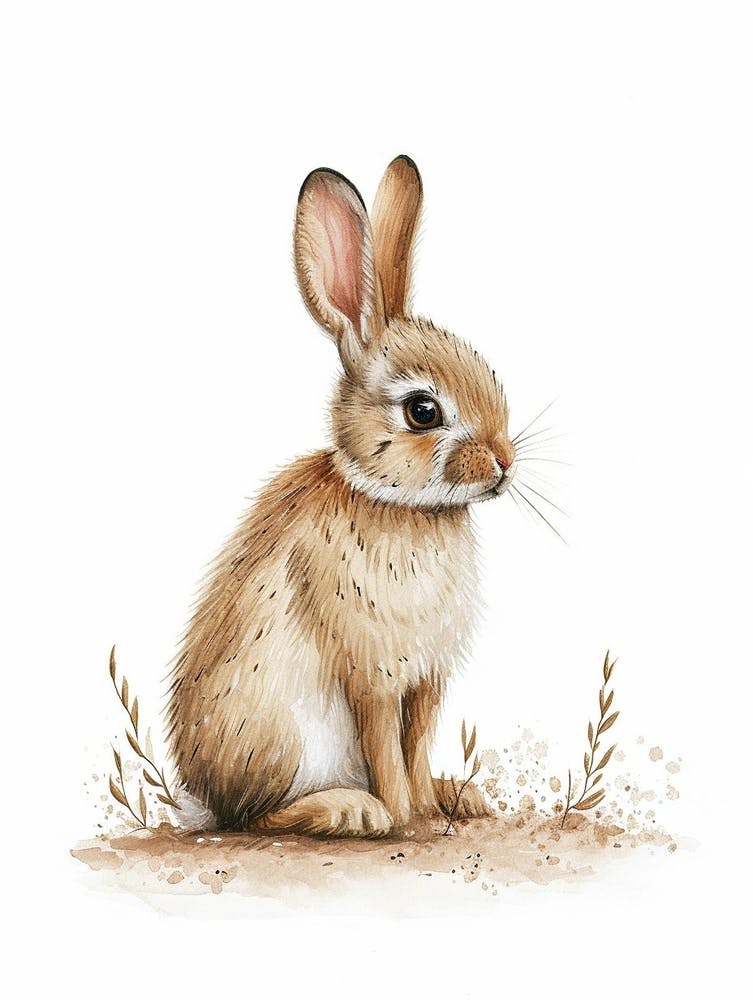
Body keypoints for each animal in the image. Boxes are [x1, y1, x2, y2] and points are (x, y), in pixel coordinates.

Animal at [166, 156, 516, 837]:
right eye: (423, 410)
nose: (504, 464)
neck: (399, 506)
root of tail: (201, 787)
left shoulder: (426, 679)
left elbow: (416, 743)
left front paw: (431, 806)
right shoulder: (373, 674)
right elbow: (386, 749)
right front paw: (407, 819)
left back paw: (458, 795)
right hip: (280, 735)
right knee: (255, 818)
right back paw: (353, 810)